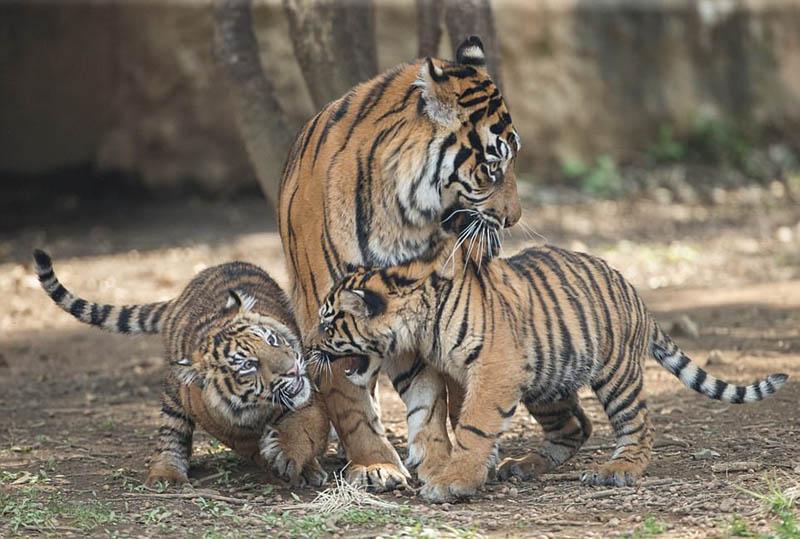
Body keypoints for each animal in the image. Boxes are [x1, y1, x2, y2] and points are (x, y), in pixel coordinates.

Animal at [278, 34, 520, 490]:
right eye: (493, 167)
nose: (514, 218)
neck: (406, 216)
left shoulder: (410, 307)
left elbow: (428, 396)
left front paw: (436, 458)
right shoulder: (330, 304)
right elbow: (350, 401)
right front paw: (376, 465)